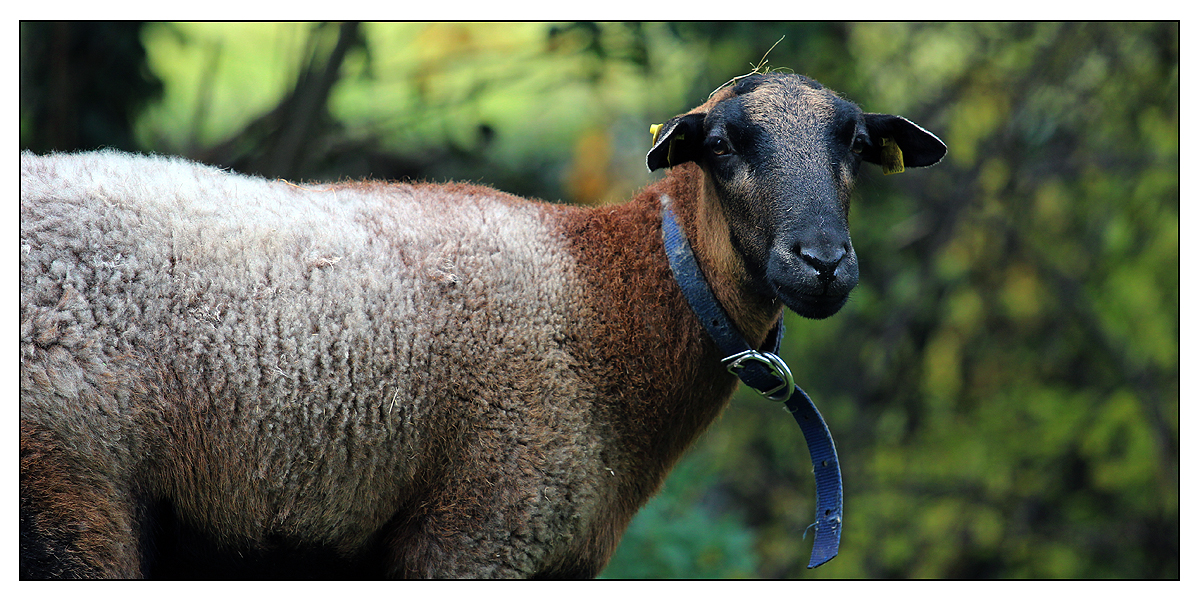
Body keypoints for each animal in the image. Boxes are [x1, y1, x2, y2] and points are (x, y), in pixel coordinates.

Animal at [14, 72, 940, 578]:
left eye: (856, 145)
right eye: (720, 145)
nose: (822, 261)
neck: (601, 296)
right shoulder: (476, 533)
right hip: (70, 488)